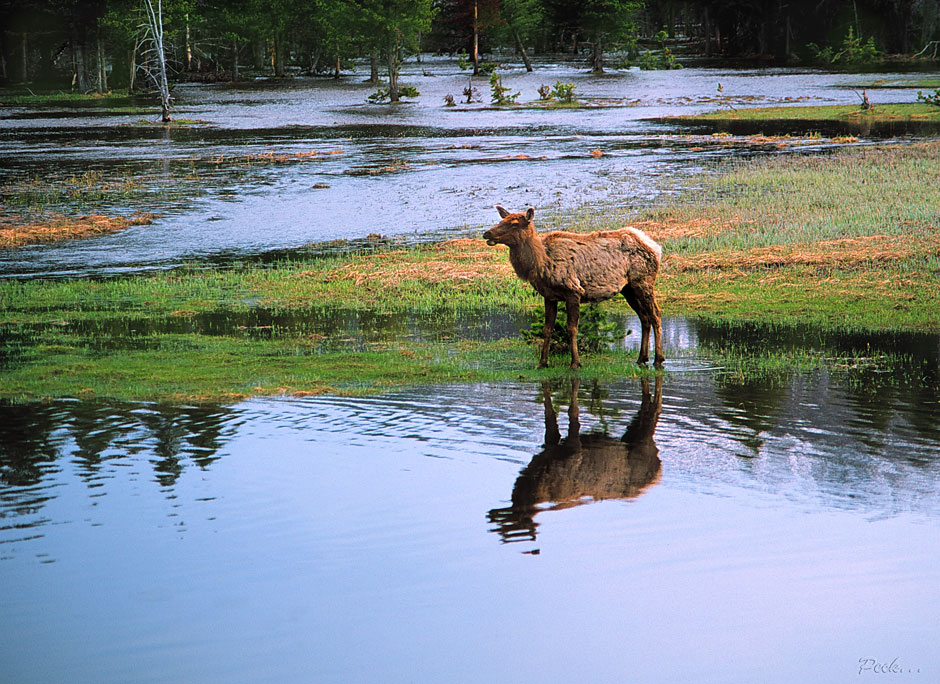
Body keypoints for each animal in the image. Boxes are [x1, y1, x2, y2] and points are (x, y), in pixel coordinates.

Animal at [484, 206, 660, 368]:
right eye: (501, 220)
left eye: (514, 224)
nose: (487, 233)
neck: (541, 263)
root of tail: (656, 247)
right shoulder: (549, 296)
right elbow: (547, 329)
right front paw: (542, 362)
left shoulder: (573, 291)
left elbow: (572, 329)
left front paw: (575, 362)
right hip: (628, 289)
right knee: (644, 317)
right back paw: (642, 358)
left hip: (644, 281)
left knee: (655, 315)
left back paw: (658, 359)